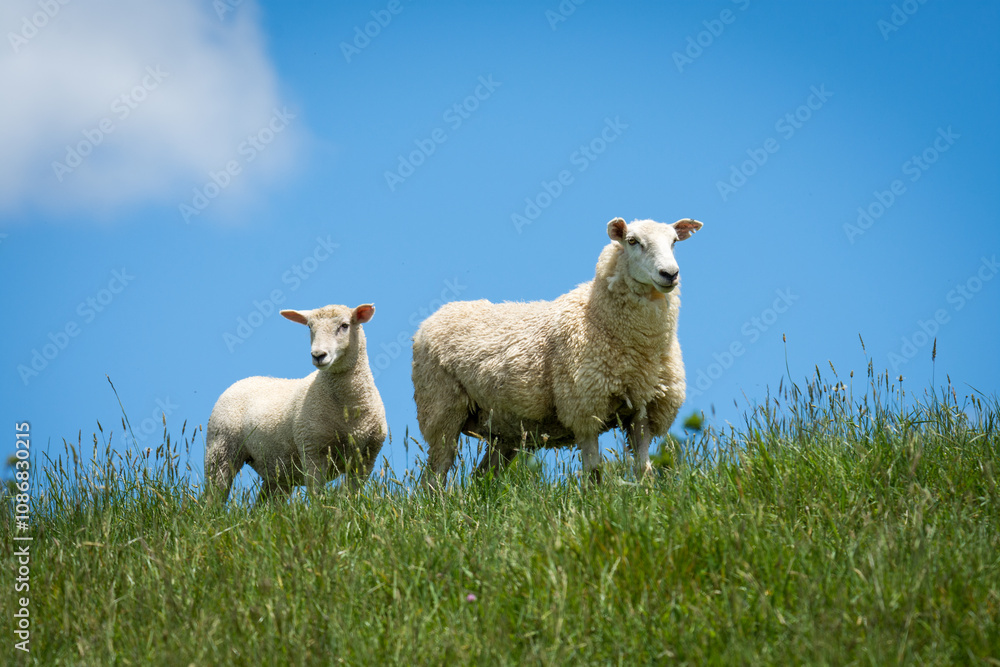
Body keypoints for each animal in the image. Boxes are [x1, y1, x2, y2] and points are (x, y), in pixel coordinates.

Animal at [204, 304, 387, 505]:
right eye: (309, 327)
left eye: (345, 325)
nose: (318, 355)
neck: (348, 410)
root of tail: (241, 381)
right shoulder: (312, 449)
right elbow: (317, 494)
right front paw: (320, 511)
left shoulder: (367, 457)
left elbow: (353, 495)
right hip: (221, 449)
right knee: (214, 493)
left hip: (277, 470)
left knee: (263, 504)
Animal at [412, 217, 703, 485]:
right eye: (632, 241)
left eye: (674, 242)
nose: (670, 274)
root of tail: (432, 318)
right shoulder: (584, 407)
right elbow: (594, 471)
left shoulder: (645, 406)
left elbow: (644, 470)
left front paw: (646, 495)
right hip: (441, 408)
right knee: (436, 473)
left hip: (505, 427)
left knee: (482, 476)